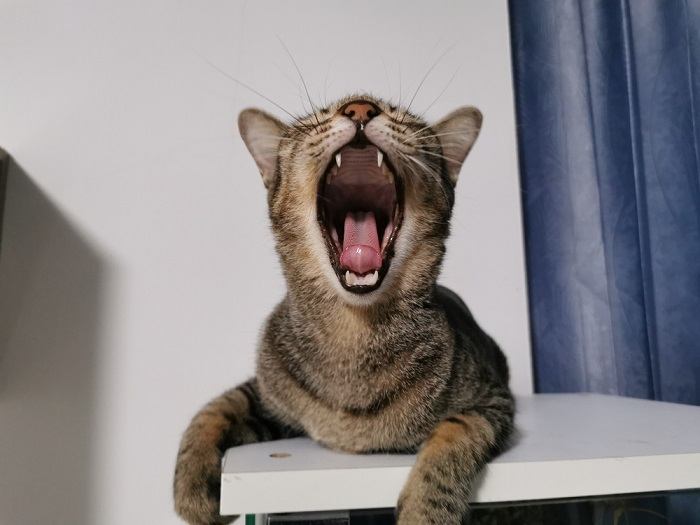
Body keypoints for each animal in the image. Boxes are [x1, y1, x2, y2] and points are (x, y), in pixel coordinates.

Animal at [175, 95, 516, 524]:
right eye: (318, 118)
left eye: (403, 118)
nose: (360, 108)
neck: (352, 333)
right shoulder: (267, 393)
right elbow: (215, 408)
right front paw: (191, 485)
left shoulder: (492, 401)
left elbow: (453, 439)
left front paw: (425, 513)